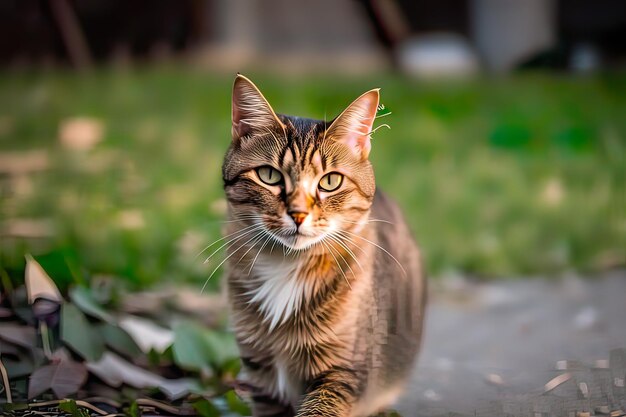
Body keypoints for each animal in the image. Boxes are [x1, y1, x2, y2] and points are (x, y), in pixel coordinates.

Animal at [219, 75, 424, 416]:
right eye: (269, 175)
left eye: (330, 181)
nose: (298, 214)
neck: (286, 265)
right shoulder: (262, 378)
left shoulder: (341, 374)